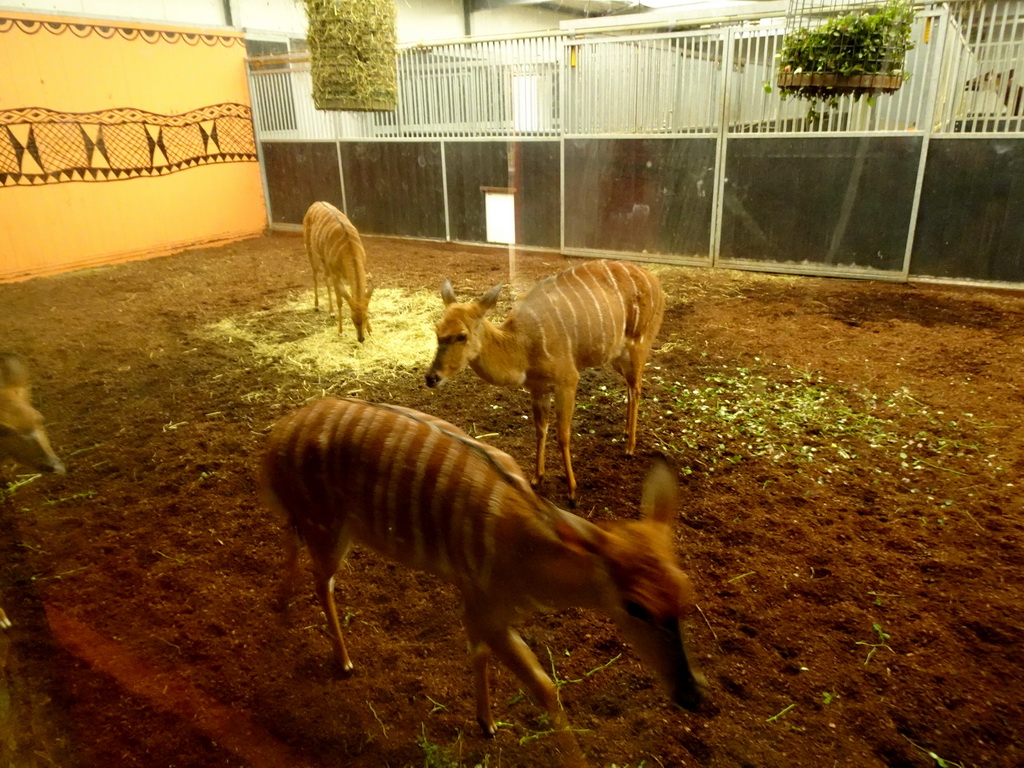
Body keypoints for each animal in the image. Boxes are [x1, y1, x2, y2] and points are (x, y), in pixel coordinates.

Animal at [260, 397, 708, 757]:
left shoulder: (477, 607)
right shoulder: (486, 608)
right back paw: (344, 661)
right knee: (323, 580)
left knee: (293, 540)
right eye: (635, 605)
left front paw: (487, 723)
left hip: (319, 524)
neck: (529, 554)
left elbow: (478, 655)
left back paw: (281, 601)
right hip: (328, 527)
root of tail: (276, 436)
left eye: (686, 594)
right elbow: (546, 688)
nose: (691, 695)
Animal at [301, 201, 374, 342]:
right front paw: (340, 331)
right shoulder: (336, 273)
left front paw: (370, 330)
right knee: (315, 275)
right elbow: (340, 301)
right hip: (310, 249)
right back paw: (317, 306)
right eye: (352, 318)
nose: (361, 338)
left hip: (324, 260)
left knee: (325, 278)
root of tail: (315, 203)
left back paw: (331, 312)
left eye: (367, 316)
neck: (349, 249)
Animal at [423, 262, 663, 507]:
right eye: (437, 329)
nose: (431, 377)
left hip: (639, 345)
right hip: (616, 356)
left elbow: (563, 435)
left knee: (637, 388)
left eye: (462, 335)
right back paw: (625, 432)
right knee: (630, 387)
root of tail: (654, 280)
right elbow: (540, 429)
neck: (522, 344)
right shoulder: (538, 388)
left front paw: (572, 491)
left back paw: (630, 448)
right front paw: (536, 478)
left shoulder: (567, 380)